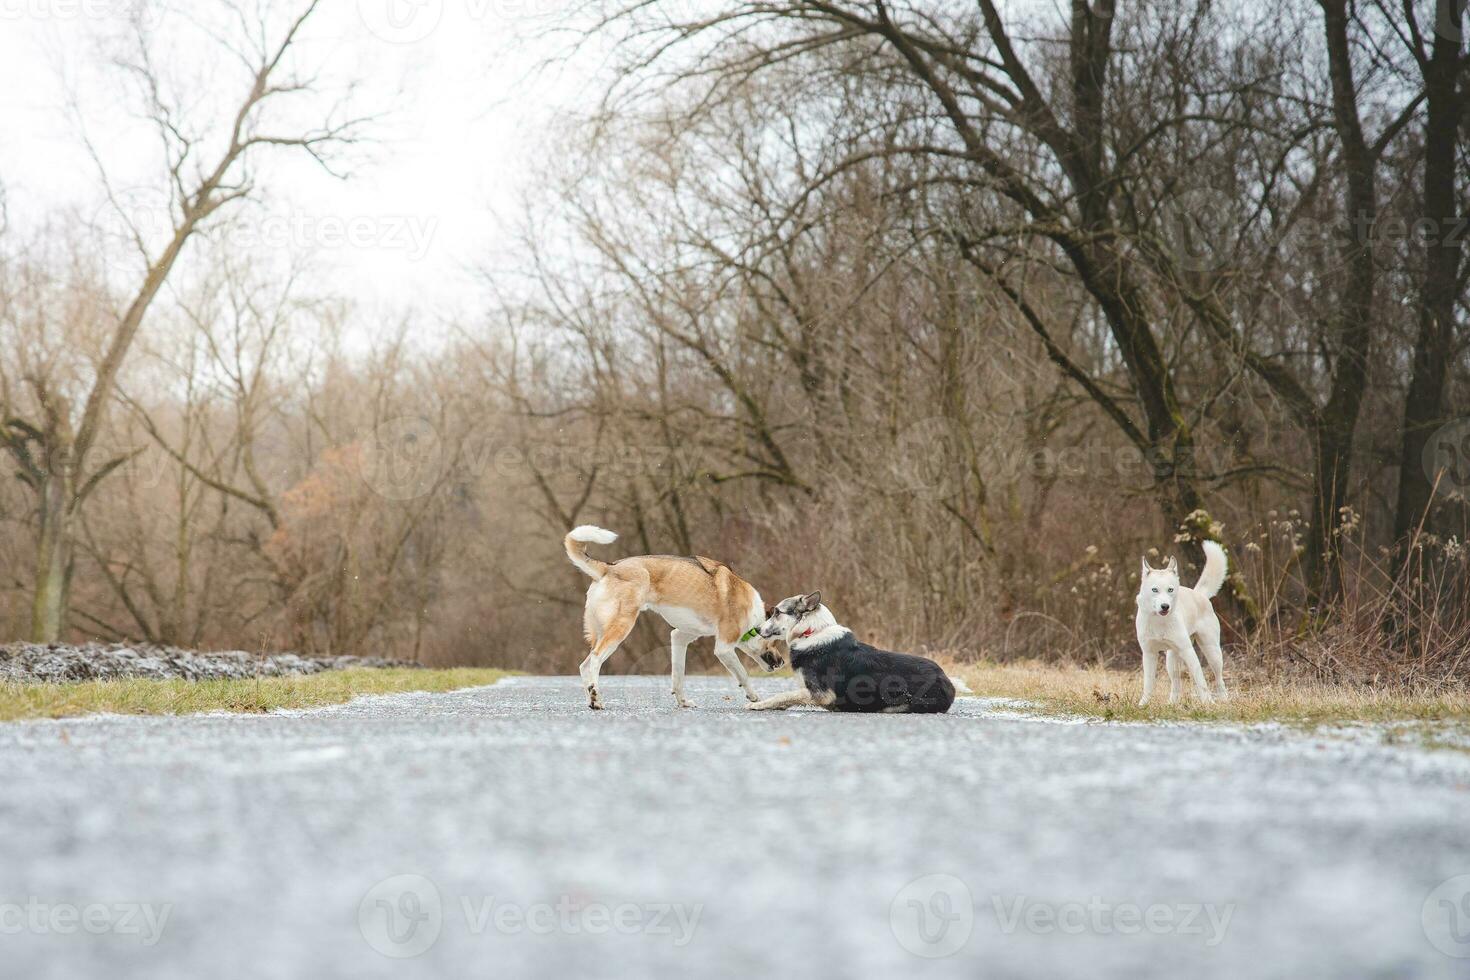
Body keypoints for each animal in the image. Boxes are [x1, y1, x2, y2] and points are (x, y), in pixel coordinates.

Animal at [746, 590, 952, 714]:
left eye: (777, 613)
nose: (757, 629)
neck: (811, 632)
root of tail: (948, 683)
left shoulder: (822, 694)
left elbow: (783, 695)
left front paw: (757, 704)